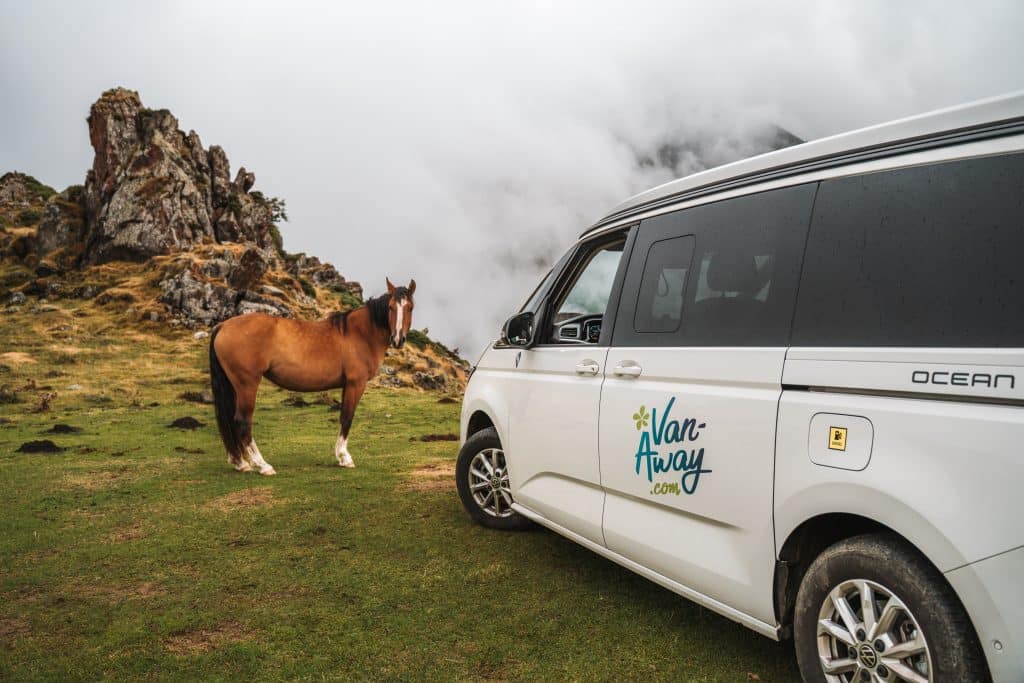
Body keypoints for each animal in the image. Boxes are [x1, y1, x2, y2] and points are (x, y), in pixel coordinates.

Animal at [208, 278, 415, 475]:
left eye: (410, 307)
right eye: (391, 307)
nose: (398, 339)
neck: (359, 333)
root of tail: (223, 326)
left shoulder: (347, 385)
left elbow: (343, 416)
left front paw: (341, 456)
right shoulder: (356, 384)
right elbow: (347, 417)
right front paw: (344, 457)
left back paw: (241, 463)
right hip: (247, 385)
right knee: (242, 422)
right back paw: (263, 465)